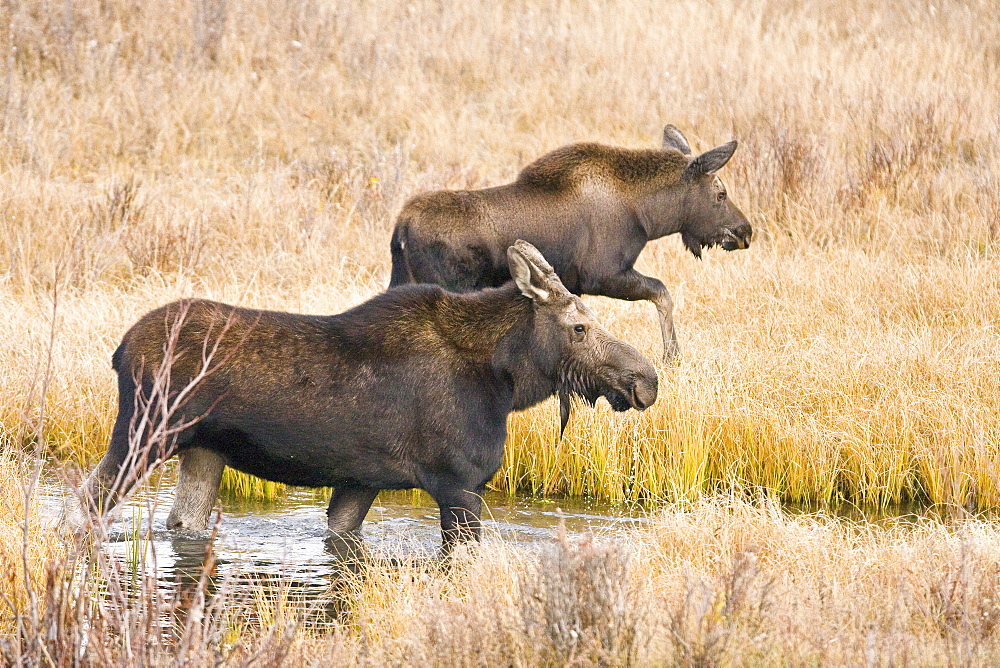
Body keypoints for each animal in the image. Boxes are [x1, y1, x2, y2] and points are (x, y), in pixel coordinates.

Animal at [66, 243, 660, 552]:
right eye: (580, 327)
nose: (645, 379)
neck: (508, 382)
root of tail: (120, 349)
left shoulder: (361, 480)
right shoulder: (459, 484)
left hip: (203, 450)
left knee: (181, 523)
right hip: (146, 432)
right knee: (87, 501)